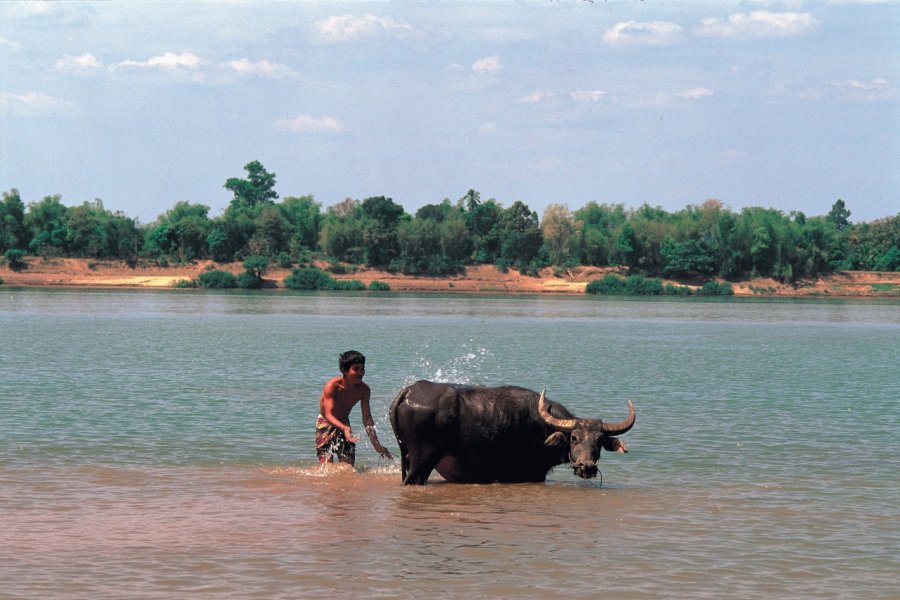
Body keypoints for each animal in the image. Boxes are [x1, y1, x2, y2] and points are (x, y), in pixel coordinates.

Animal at [386, 382, 632, 486]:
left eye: (599, 441)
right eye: (574, 438)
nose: (586, 467)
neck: (543, 427)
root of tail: (411, 390)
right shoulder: (532, 474)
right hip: (422, 462)